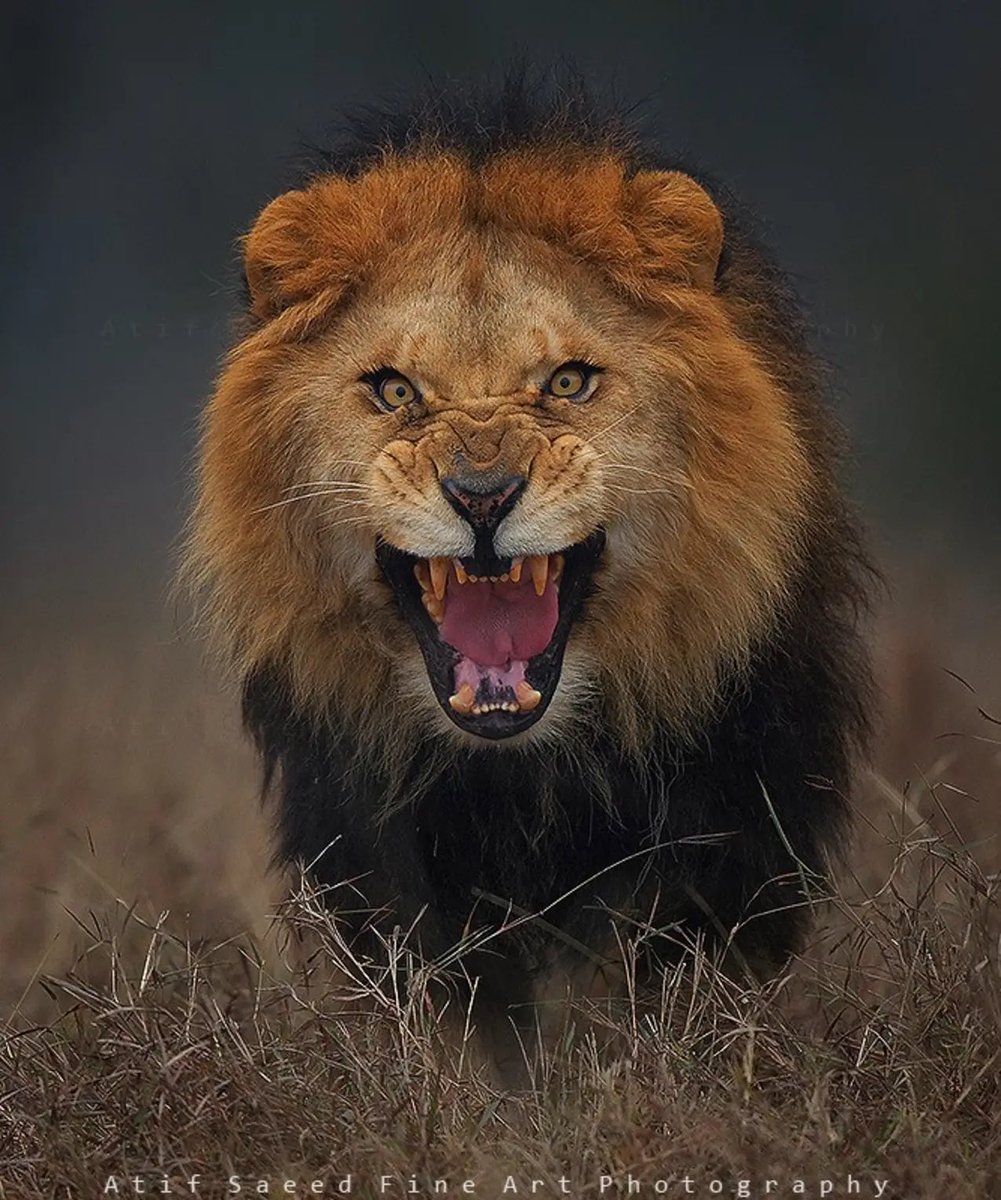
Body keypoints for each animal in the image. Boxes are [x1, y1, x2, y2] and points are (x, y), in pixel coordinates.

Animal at [183, 82, 868, 1060]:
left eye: (568, 382)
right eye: (395, 390)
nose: (481, 496)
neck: (523, 775)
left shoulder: (729, 827)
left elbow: (663, 992)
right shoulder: (378, 857)